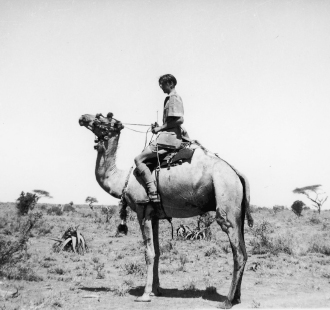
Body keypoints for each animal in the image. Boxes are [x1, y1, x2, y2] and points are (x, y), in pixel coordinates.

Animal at [78, 112, 254, 308]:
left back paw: (227, 301)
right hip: (238, 212)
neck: (123, 180)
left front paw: (145, 295)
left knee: (238, 253)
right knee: (244, 251)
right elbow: (158, 252)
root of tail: (237, 173)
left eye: (101, 118)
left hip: (226, 199)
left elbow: (148, 253)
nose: (83, 117)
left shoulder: (143, 211)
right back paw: (237, 297)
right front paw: (156, 290)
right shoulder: (154, 215)